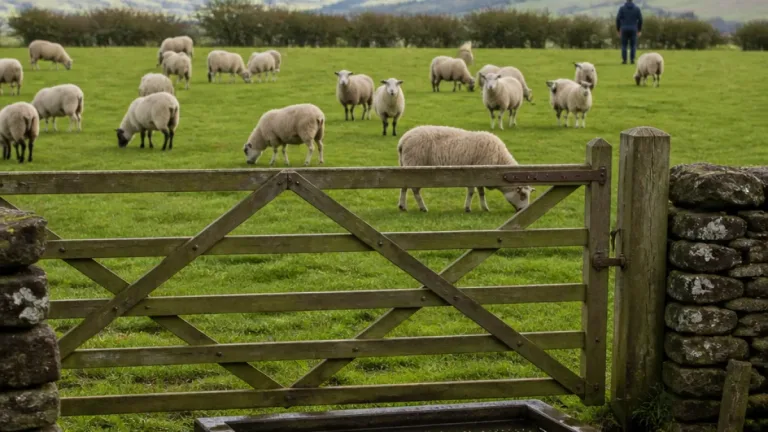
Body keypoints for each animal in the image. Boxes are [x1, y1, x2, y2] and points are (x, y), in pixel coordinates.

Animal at [397, 125, 533, 213]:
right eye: (522, 195)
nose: (522, 211)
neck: (499, 159)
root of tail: (403, 140)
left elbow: (480, 192)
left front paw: (483, 208)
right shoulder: (476, 173)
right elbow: (473, 191)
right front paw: (469, 208)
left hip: (404, 166)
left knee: (403, 187)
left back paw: (402, 206)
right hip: (415, 166)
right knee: (415, 190)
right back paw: (423, 208)